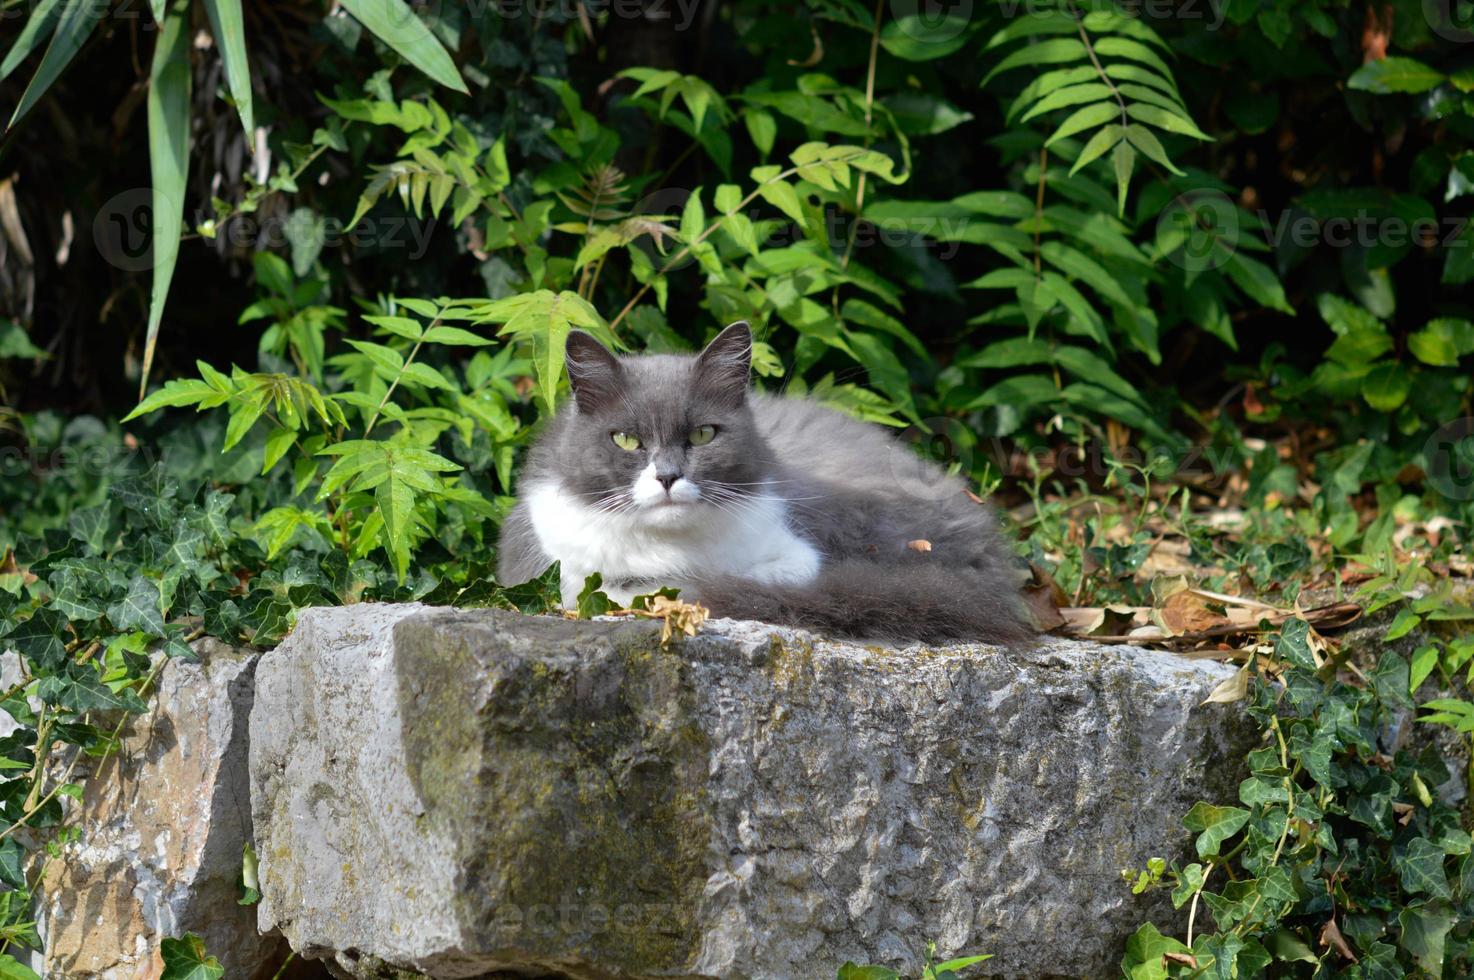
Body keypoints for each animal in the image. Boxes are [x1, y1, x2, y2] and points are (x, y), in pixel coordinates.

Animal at [492, 321, 1025, 642]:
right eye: (626, 440)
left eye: (703, 434)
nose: (667, 476)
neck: (666, 547)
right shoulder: (546, 554)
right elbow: (580, 585)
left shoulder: (795, 554)